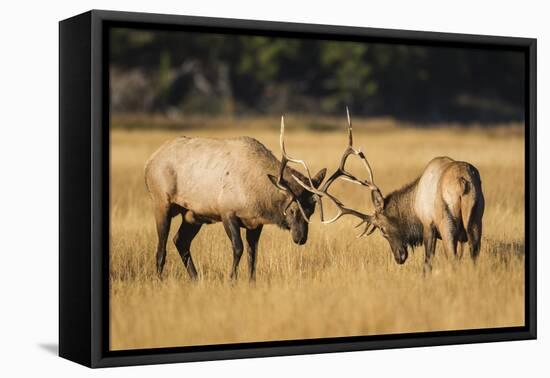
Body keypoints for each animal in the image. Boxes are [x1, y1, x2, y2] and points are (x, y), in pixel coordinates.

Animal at [146, 118, 328, 280]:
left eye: (311, 210)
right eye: (291, 209)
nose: (300, 238)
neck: (257, 194)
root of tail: (149, 162)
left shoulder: (255, 222)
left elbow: (252, 254)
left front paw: (251, 282)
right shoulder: (227, 212)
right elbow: (238, 248)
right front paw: (231, 279)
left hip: (192, 215)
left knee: (180, 241)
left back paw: (196, 279)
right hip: (161, 203)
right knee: (161, 248)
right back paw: (159, 280)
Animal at [296, 108, 486, 270]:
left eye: (382, 229)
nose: (399, 257)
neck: (413, 206)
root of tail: (463, 181)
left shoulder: (428, 225)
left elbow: (427, 263)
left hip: (446, 221)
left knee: (453, 258)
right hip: (476, 218)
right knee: (474, 255)